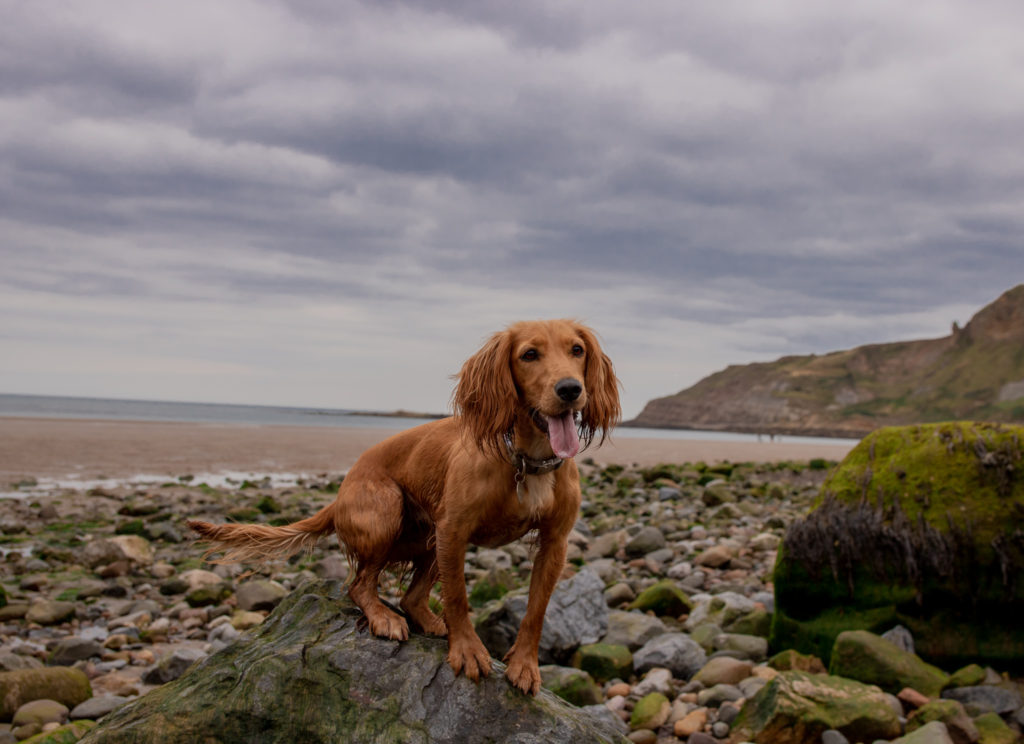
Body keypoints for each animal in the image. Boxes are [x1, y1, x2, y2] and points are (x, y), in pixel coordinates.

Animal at [188, 319, 618, 699]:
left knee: (411, 598)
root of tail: (339, 494)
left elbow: (536, 611)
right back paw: (384, 617)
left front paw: (524, 664)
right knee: (359, 585)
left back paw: (427, 620)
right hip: (389, 513)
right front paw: (468, 650)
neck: (528, 459)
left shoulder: (555, 542)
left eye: (576, 350)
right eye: (529, 354)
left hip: (429, 539)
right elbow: (459, 598)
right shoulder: (454, 530)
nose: (570, 389)